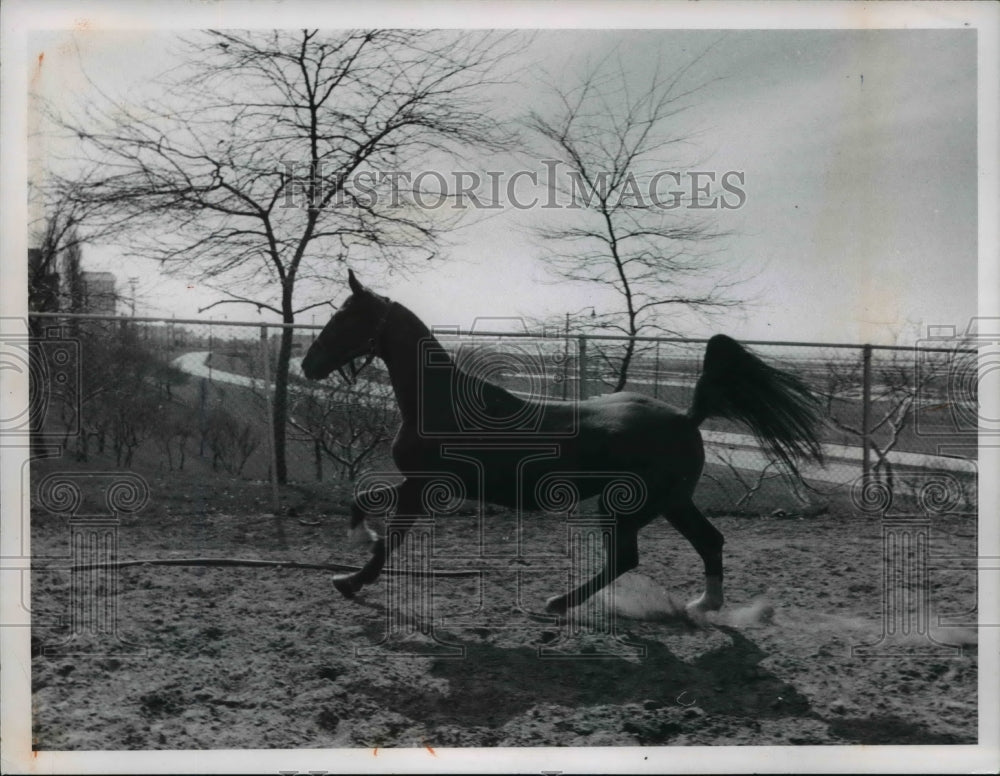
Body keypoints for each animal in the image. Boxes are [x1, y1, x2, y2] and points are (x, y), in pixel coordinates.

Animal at [300, 272, 824, 620]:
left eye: (345, 318)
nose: (308, 364)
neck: (439, 403)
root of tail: (686, 416)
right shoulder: (423, 484)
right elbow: (367, 505)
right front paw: (356, 548)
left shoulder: (425, 485)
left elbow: (386, 534)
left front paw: (349, 578)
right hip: (672, 502)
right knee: (708, 541)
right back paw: (703, 605)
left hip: (632, 505)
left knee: (628, 557)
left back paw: (558, 602)